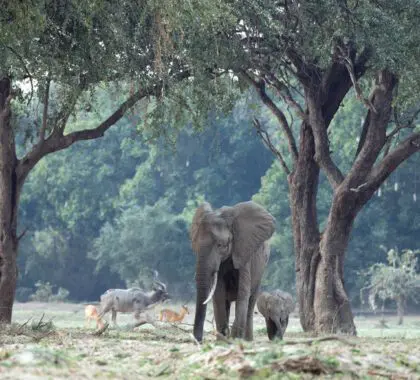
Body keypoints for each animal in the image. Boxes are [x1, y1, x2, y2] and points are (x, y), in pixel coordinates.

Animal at [191, 200, 276, 342]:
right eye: (195, 245)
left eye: (220, 245)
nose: (198, 339)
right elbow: (219, 294)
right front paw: (224, 339)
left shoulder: (244, 252)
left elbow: (243, 294)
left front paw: (236, 337)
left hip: (260, 270)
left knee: (251, 301)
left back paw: (247, 339)